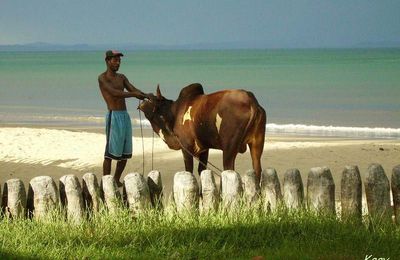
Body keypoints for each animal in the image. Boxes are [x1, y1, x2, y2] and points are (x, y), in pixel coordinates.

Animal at [139, 83, 268, 183]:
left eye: (151, 100)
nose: (140, 104)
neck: (174, 112)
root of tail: (252, 102)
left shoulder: (186, 147)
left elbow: (189, 170)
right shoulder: (204, 149)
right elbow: (201, 170)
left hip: (229, 149)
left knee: (229, 170)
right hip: (257, 144)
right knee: (257, 169)